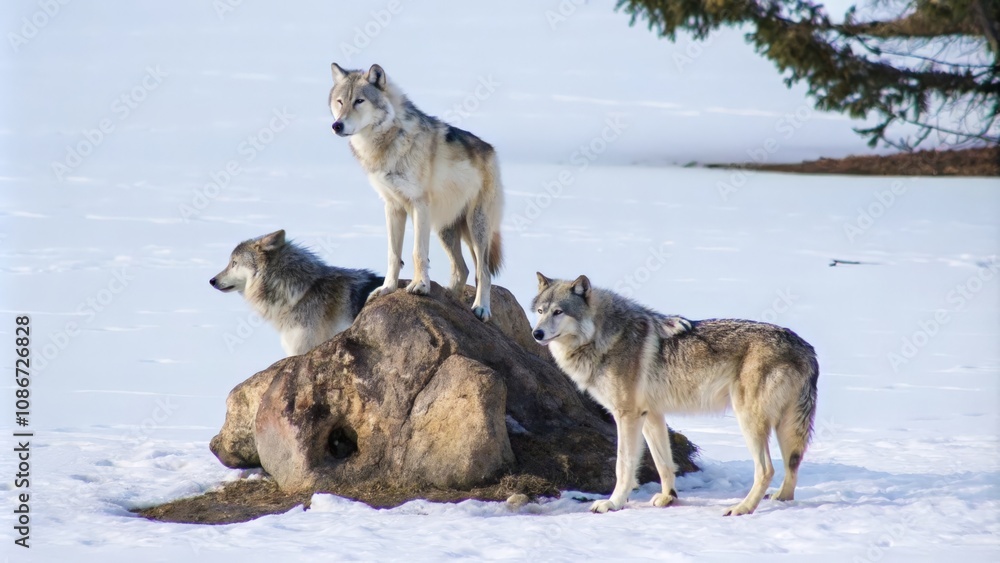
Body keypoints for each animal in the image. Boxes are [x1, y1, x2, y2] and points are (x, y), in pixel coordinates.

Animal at [329, 63, 504, 321]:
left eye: (359, 101)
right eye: (340, 102)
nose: (337, 125)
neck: (386, 143)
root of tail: (491, 150)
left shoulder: (419, 205)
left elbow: (417, 253)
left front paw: (420, 286)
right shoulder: (393, 207)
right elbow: (393, 254)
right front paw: (388, 288)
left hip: (476, 226)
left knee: (483, 271)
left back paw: (481, 308)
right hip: (445, 228)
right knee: (462, 269)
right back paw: (451, 299)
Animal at [531, 273, 819, 516]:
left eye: (559, 312)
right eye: (540, 312)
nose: (536, 333)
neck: (603, 337)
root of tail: (806, 347)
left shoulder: (627, 415)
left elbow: (623, 465)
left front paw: (613, 503)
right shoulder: (651, 414)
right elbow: (663, 463)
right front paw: (668, 497)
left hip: (750, 420)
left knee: (767, 469)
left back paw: (742, 509)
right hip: (785, 426)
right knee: (793, 465)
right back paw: (781, 498)